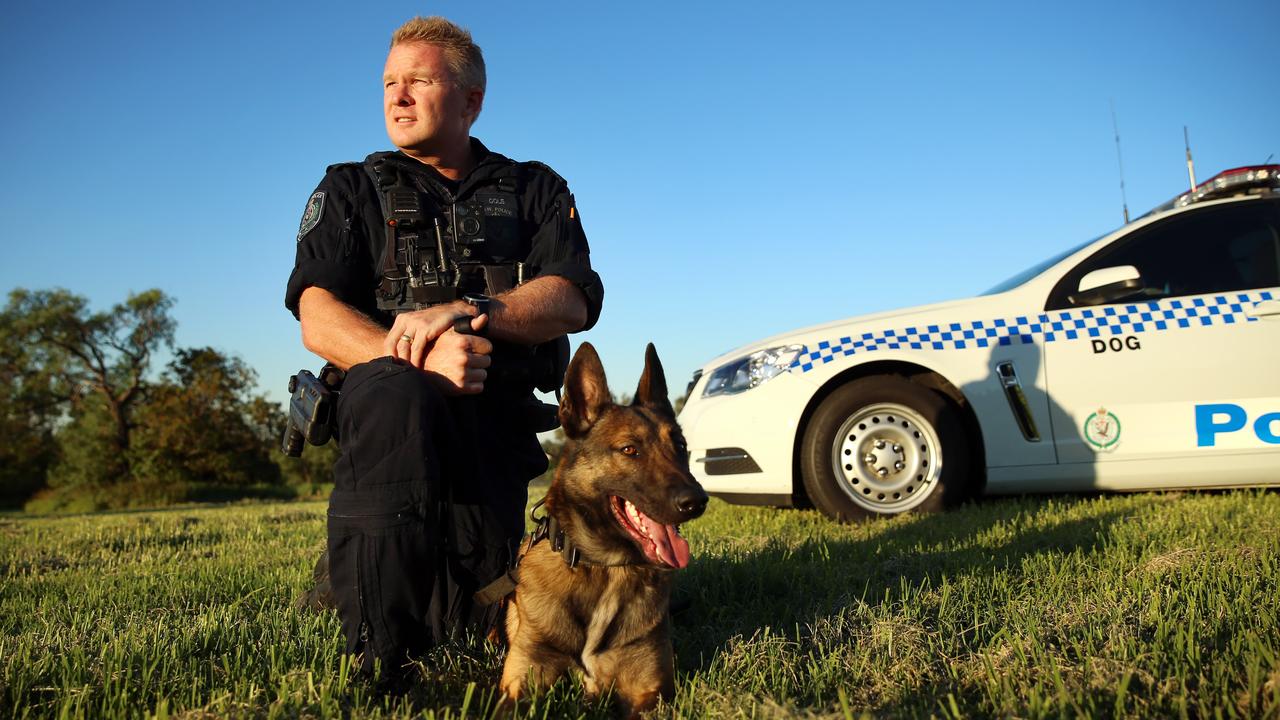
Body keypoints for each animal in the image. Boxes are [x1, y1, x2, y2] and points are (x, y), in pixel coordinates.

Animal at [499, 340, 711, 712]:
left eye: (681, 446)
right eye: (629, 449)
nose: (696, 502)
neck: (606, 568)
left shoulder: (651, 693)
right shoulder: (520, 680)